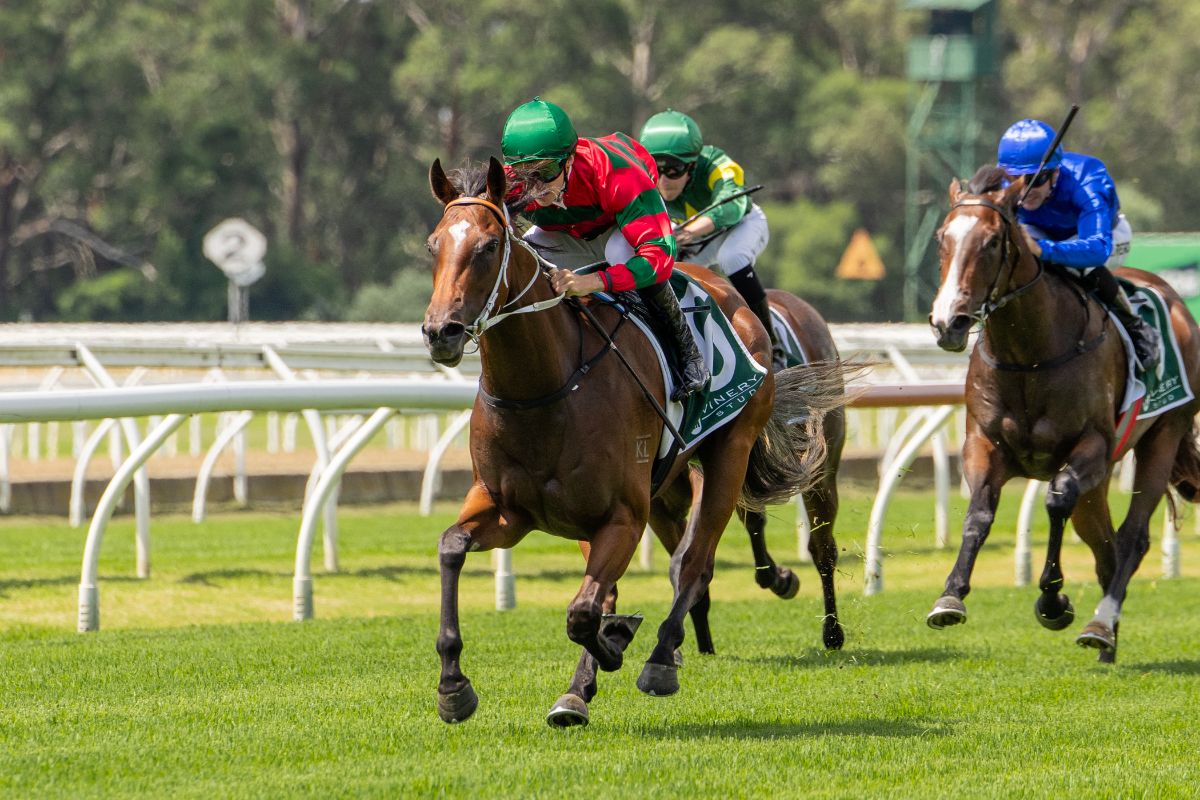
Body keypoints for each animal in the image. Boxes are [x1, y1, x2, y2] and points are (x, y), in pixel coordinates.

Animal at [422, 157, 848, 725]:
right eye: (434, 245)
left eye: (489, 247)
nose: (440, 332)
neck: (545, 387)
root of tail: (734, 300)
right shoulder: (510, 510)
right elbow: (453, 548)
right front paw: (454, 686)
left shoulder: (623, 515)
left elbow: (584, 612)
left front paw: (612, 651)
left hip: (736, 453)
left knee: (705, 560)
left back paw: (682, 654)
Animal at [926, 166, 1200, 663]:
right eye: (942, 238)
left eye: (992, 242)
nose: (948, 322)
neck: (1030, 355)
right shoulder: (983, 444)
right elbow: (978, 515)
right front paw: (950, 597)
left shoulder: (1090, 446)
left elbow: (1055, 500)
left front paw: (1053, 601)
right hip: (1102, 480)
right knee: (1105, 546)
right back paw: (1107, 643)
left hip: (1164, 435)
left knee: (1131, 537)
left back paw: (1101, 623)